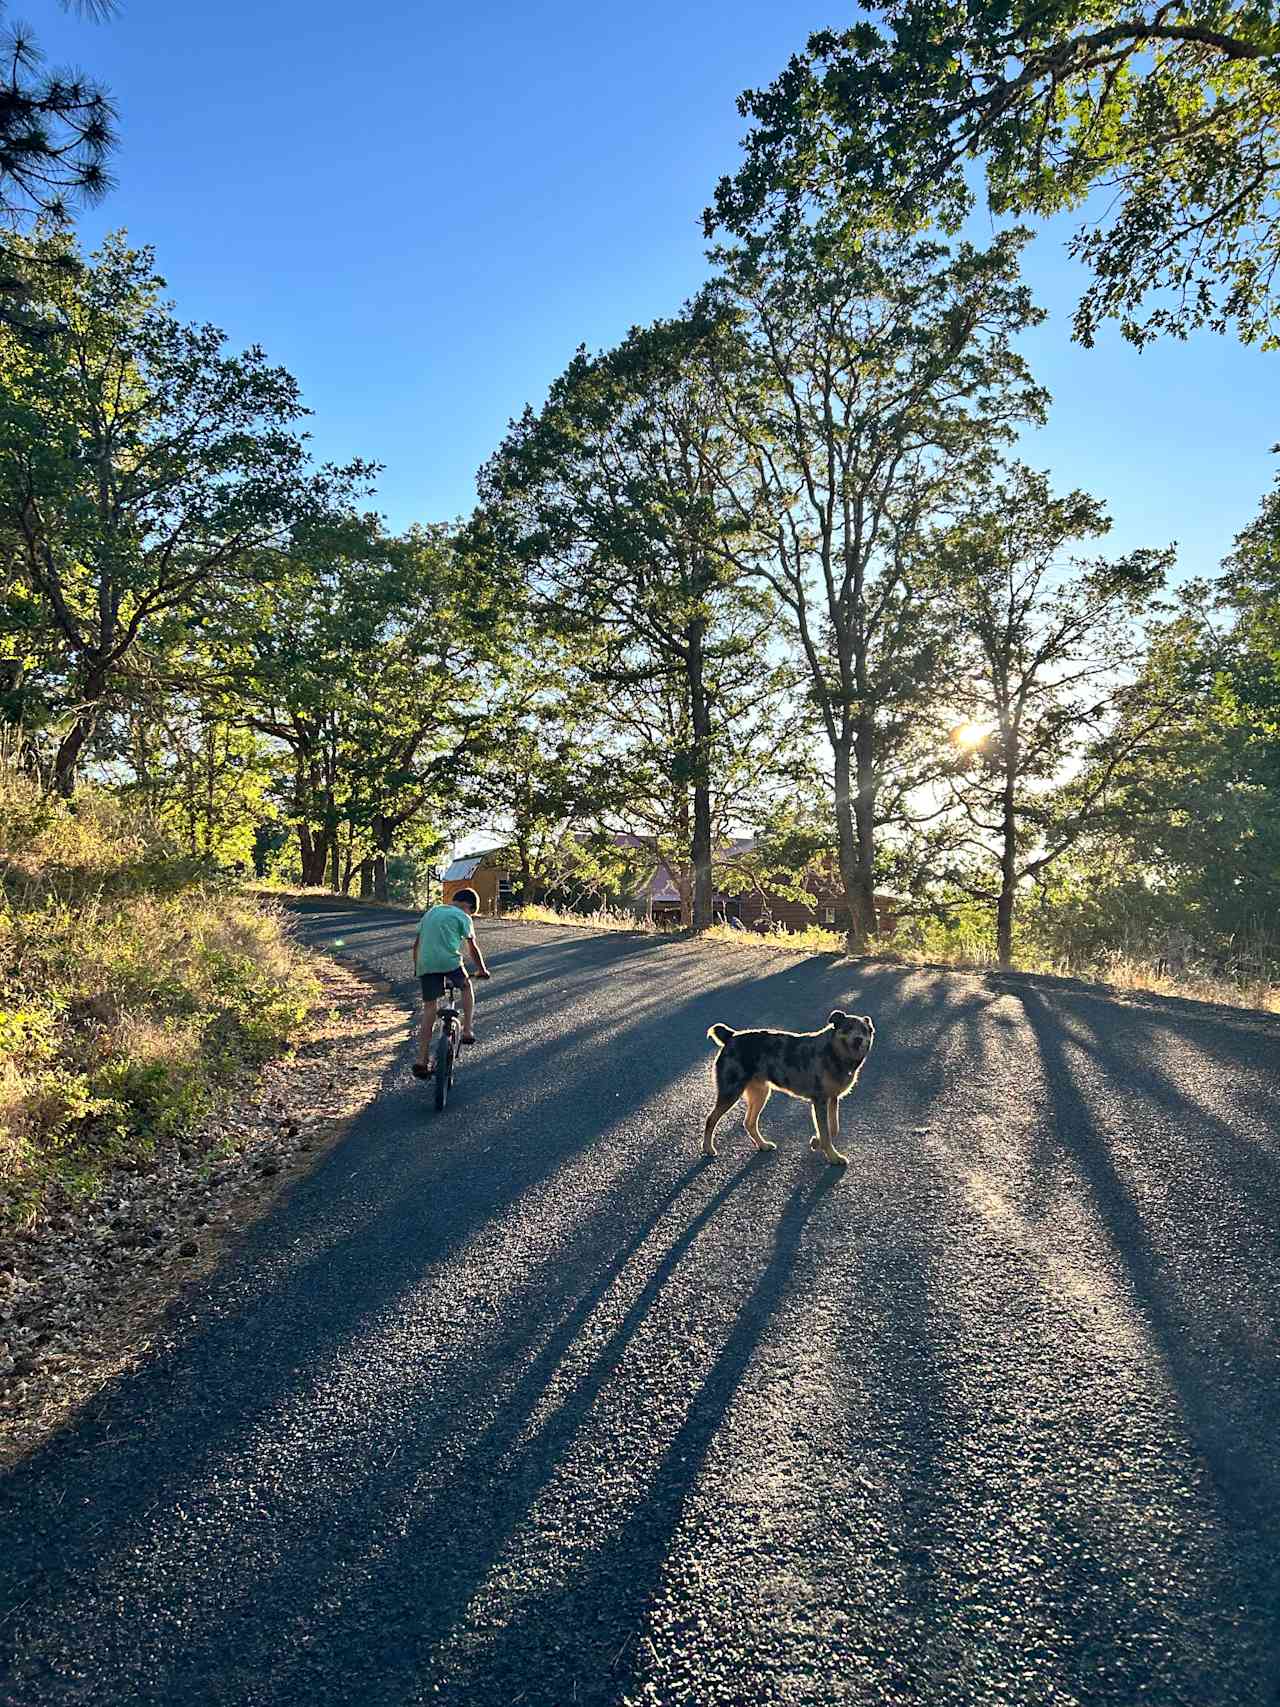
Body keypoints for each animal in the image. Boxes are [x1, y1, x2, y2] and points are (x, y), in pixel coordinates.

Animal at [706, 1003, 880, 1167]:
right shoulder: (820, 1101)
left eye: (864, 1030)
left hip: (761, 1093)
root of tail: (731, 1036)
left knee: (749, 1123)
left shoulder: (832, 1099)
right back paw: (708, 1149)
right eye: (848, 1028)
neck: (834, 1053)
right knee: (710, 1119)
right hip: (731, 1092)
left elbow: (833, 1128)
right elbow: (826, 1133)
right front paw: (833, 1156)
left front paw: (816, 1142)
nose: (858, 1039)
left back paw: (763, 1145)